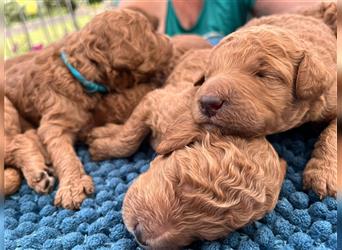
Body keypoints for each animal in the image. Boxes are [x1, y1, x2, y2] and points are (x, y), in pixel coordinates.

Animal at [88, 49, 286, 249]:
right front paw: (100, 142)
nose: (140, 235)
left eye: (204, 233)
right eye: (178, 182)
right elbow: (129, 138)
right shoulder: (155, 101)